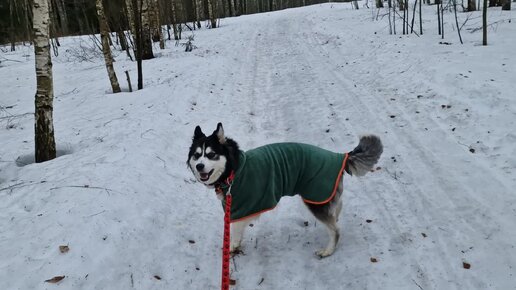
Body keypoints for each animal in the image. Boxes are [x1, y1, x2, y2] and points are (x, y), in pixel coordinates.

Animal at [187, 122, 380, 258]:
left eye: (211, 154)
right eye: (196, 155)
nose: (199, 166)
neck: (233, 170)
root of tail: (340, 156)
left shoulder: (240, 208)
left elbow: (234, 232)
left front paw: (232, 248)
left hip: (315, 199)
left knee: (335, 230)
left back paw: (328, 251)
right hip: (324, 196)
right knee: (337, 208)